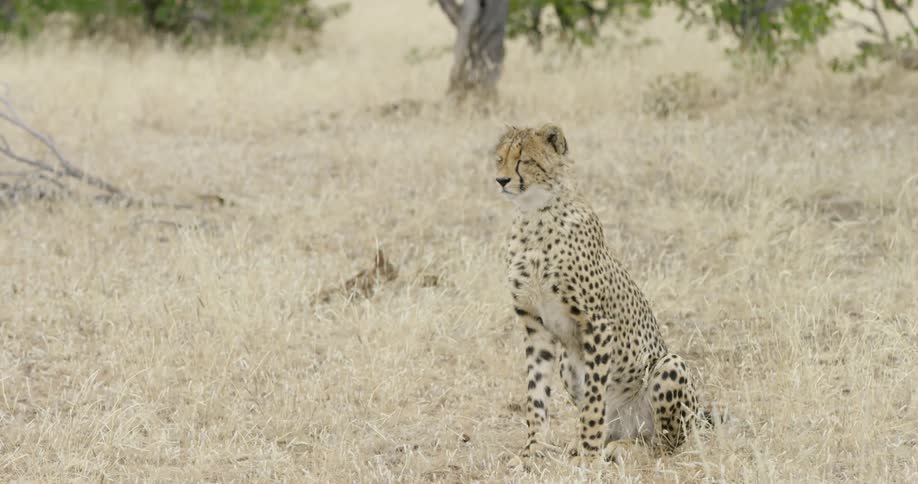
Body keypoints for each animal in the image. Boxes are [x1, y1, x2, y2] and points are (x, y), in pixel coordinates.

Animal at [493, 123, 705, 463]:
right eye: (500, 159)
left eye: (524, 160)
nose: (500, 180)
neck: (534, 215)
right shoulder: (535, 325)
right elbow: (536, 393)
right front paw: (533, 449)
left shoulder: (597, 324)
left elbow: (594, 398)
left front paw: (589, 455)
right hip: (567, 363)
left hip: (669, 366)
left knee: (665, 444)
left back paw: (624, 448)